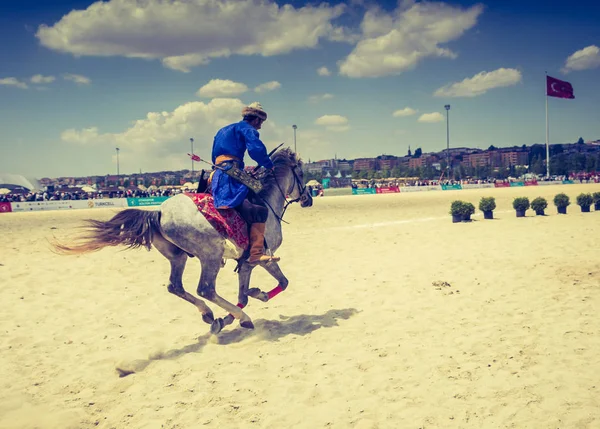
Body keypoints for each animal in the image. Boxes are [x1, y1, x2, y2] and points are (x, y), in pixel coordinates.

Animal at [54, 149, 314, 332]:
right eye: (301, 174)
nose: (308, 199)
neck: (266, 202)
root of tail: (158, 212)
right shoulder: (263, 258)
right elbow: (282, 283)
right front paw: (258, 296)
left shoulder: (246, 263)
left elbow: (242, 296)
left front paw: (231, 315)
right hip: (210, 255)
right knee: (206, 289)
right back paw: (231, 315)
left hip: (178, 256)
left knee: (175, 286)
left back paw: (209, 314)